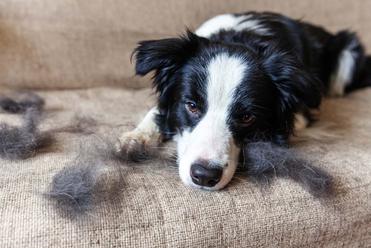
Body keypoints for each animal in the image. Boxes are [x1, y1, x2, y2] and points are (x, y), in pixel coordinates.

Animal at [115, 11, 370, 190]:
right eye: (192, 106)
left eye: (247, 117)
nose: (204, 177)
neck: (240, 39)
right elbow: (157, 112)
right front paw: (136, 138)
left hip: (348, 52)